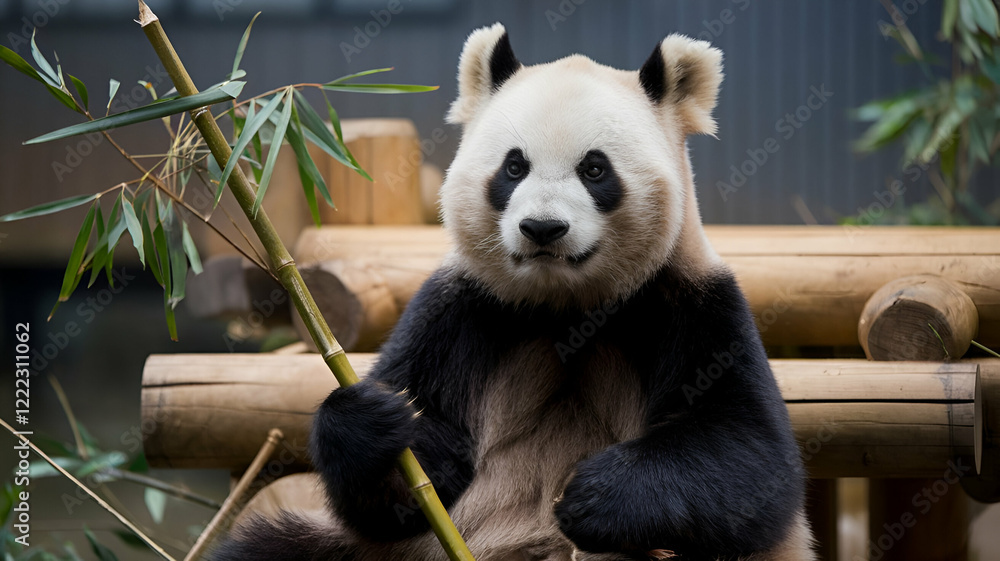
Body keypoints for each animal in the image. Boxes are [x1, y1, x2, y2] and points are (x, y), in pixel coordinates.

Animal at [214, 23, 815, 561]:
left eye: (594, 168)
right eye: (514, 165)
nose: (543, 229)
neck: (566, 306)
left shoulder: (690, 302)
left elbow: (751, 459)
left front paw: (591, 497)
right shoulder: (461, 308)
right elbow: (406, 482)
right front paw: (379, 422)